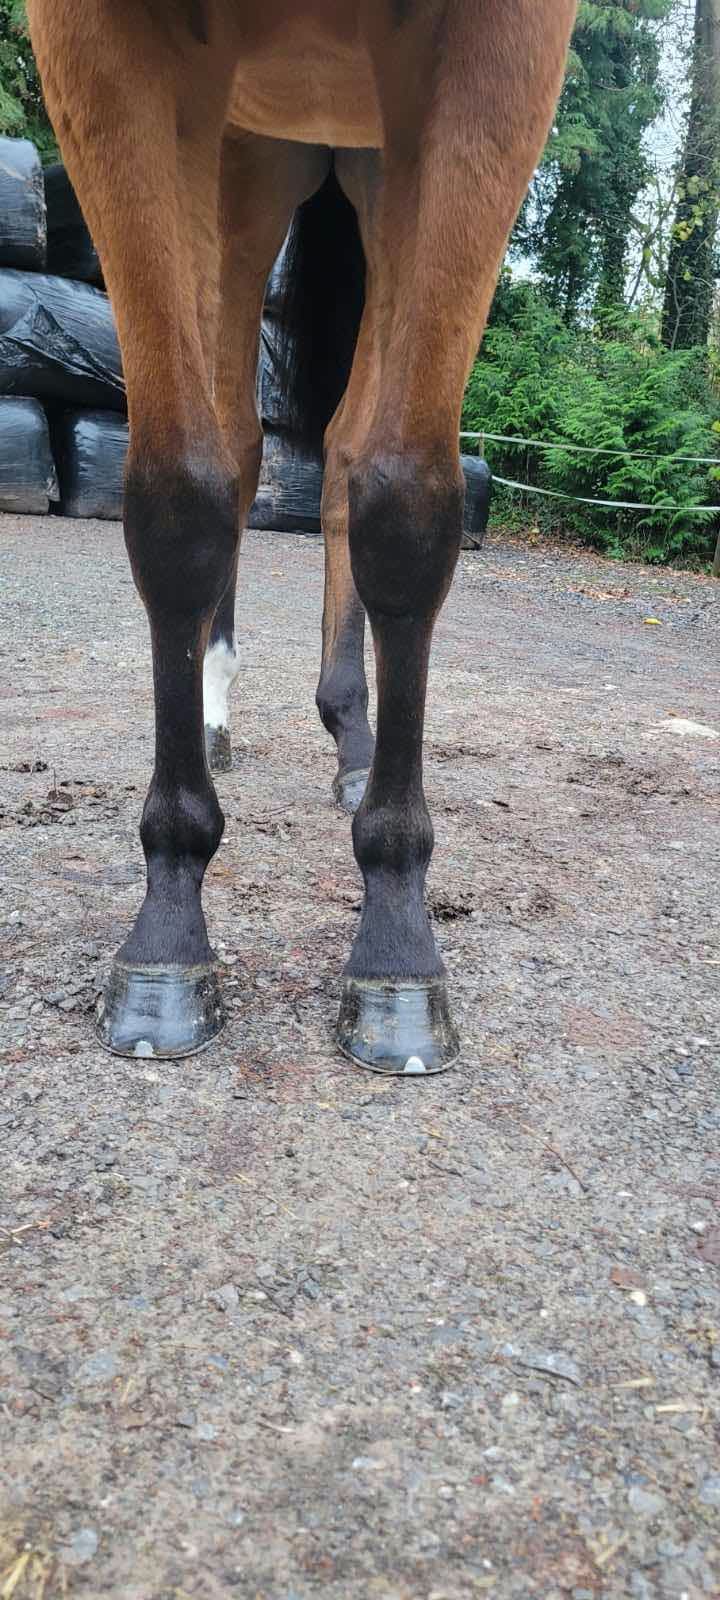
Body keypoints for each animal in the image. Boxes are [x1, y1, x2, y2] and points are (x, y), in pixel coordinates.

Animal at [26, 0, 576, 1075]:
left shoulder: (497, 51)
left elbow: (405, 505)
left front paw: (397, 937)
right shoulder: (103, 46)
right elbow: (178, 497)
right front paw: (169, 918)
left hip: (368, 164)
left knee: (349, 451)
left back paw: (354, 738)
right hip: (248, 162)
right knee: (237, 445)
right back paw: (212, 709)